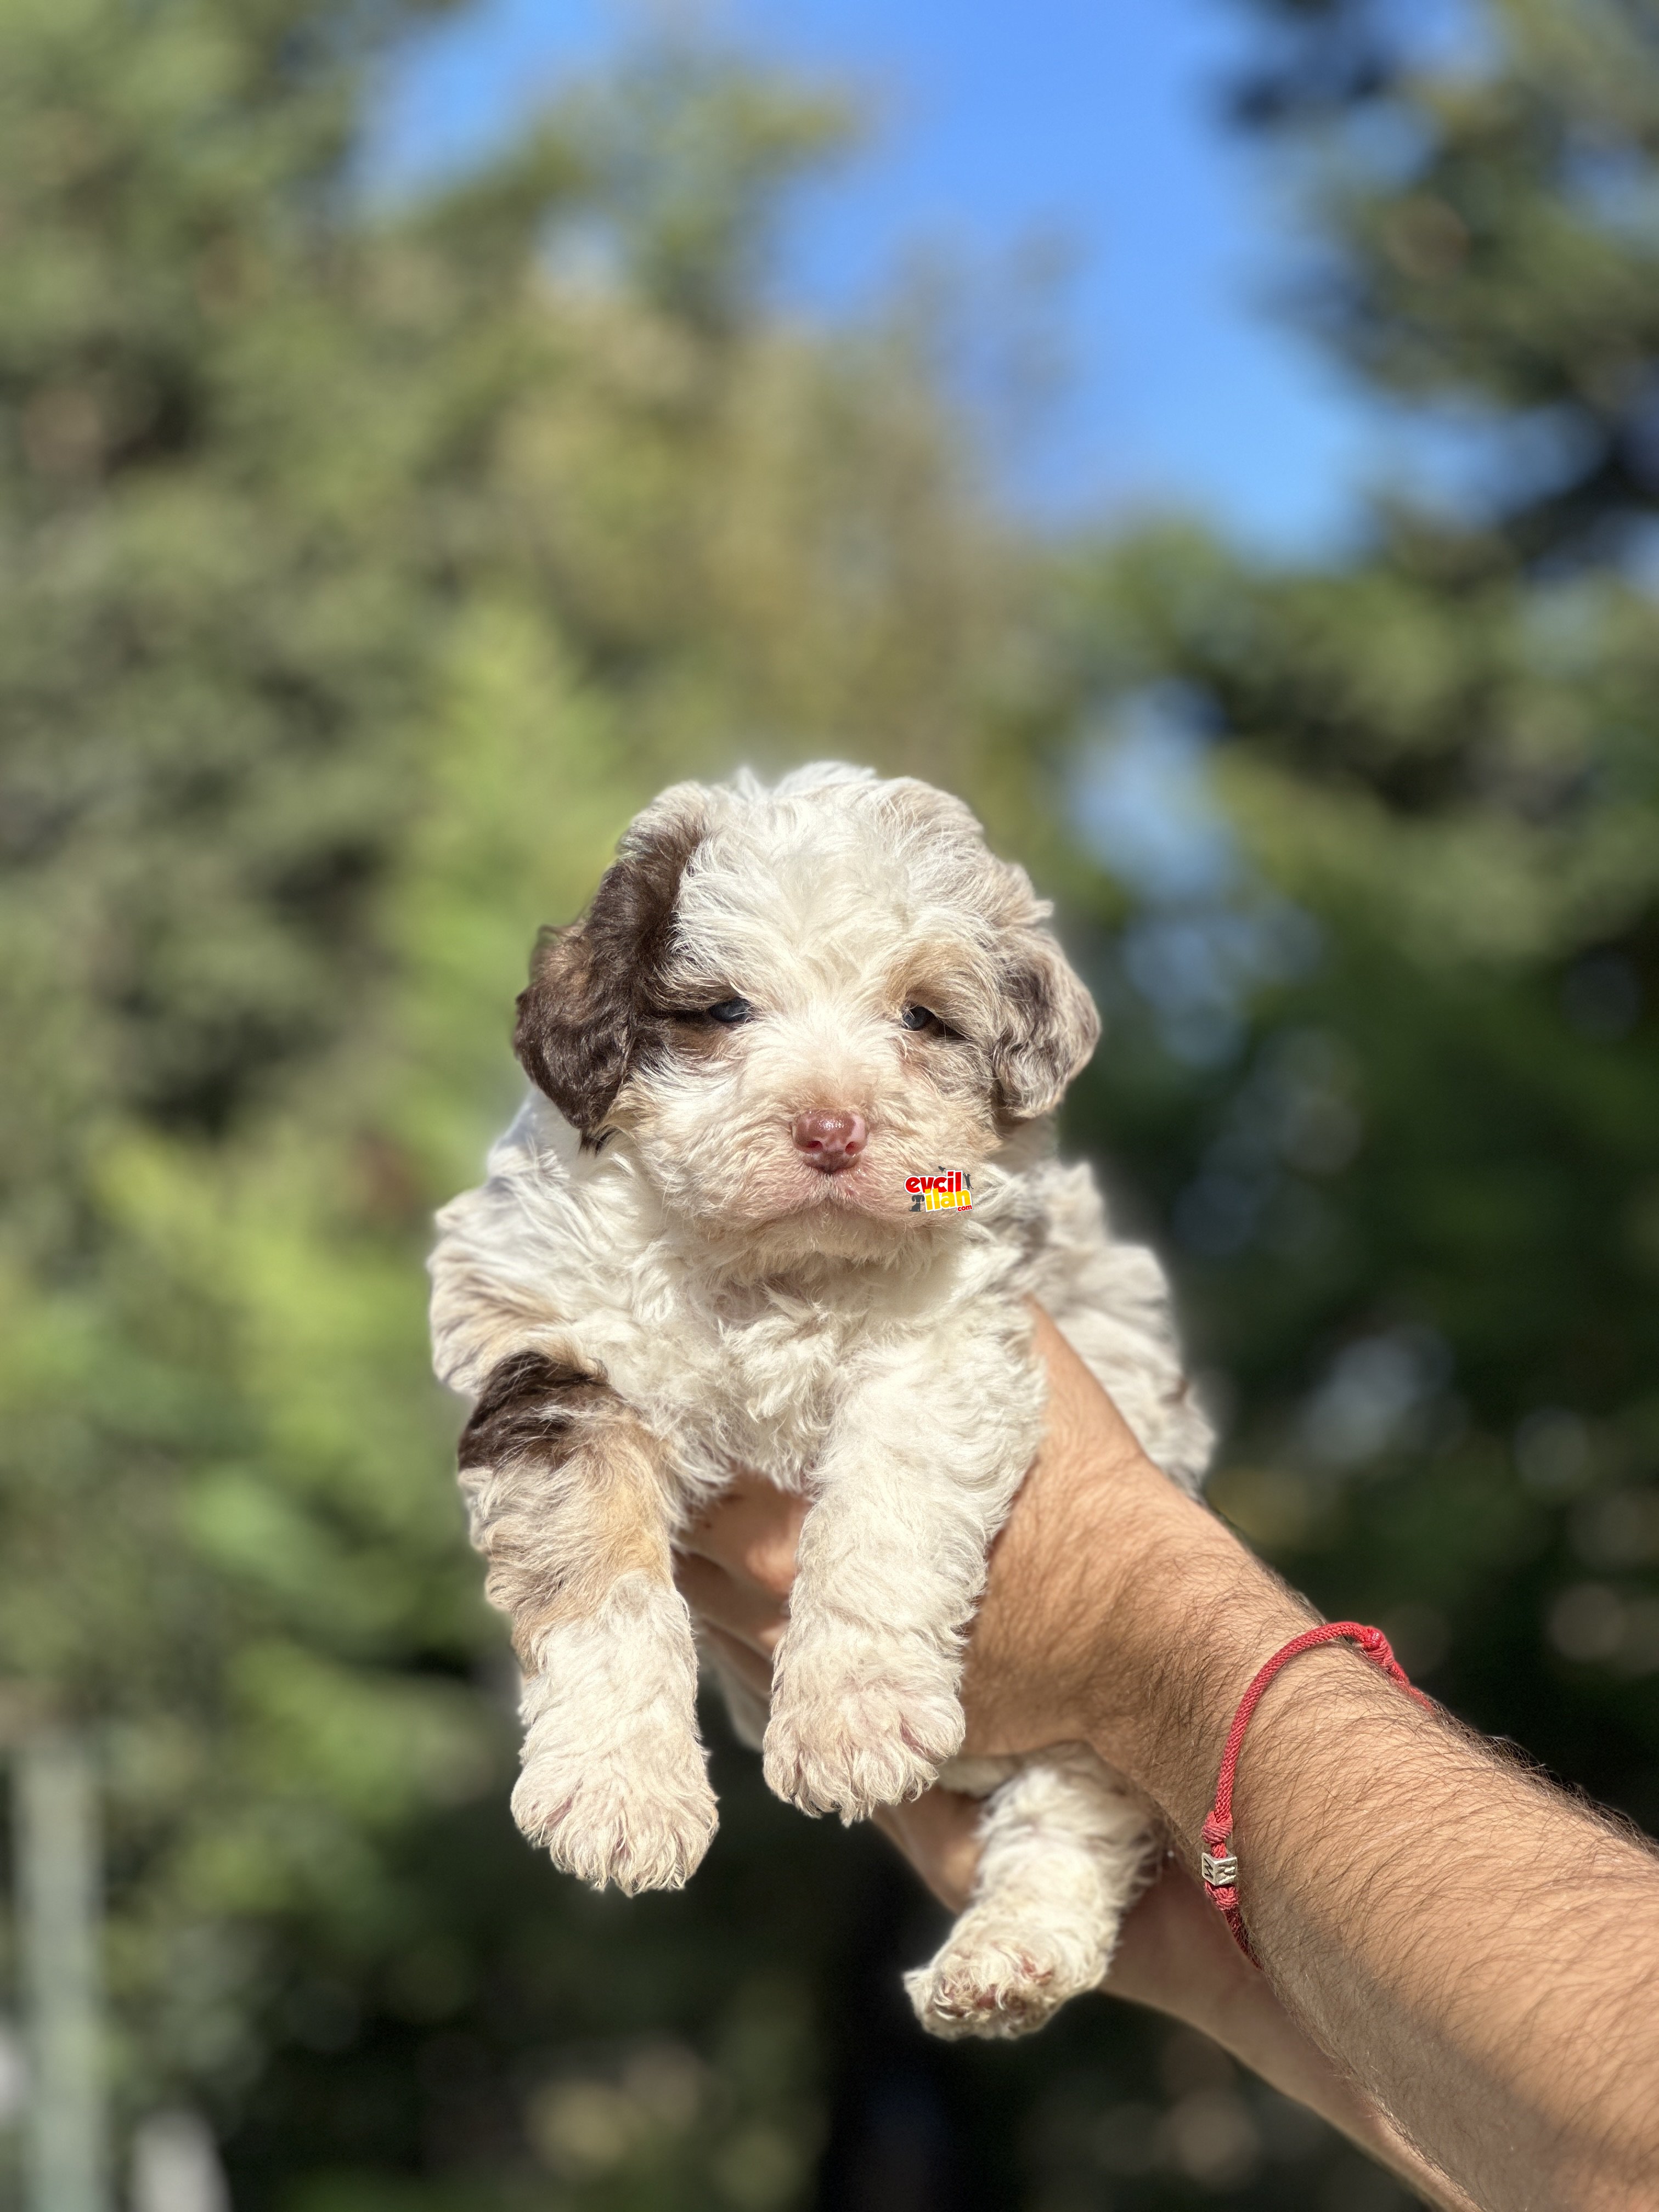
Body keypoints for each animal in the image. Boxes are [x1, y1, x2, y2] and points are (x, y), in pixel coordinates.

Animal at [429, 761, 1212, 2035]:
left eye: (923, 1019)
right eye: (723, 1012)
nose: (832, 1130)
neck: (775, 1271)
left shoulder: (943, 1343)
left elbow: (883, 1513)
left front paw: (849, 1721)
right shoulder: (560, 1356)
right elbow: (599, 1583)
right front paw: (620, 1794)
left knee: (1078, 1807)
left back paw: (1007, 1954)